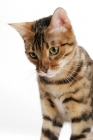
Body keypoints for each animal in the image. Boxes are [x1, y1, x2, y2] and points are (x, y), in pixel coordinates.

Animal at [9, 7, 93, 140]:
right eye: (33, 55)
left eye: (54, 50)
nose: (44, 69)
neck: (56, 83)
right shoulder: (50, 115)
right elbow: (46, 135)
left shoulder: (82, 117)